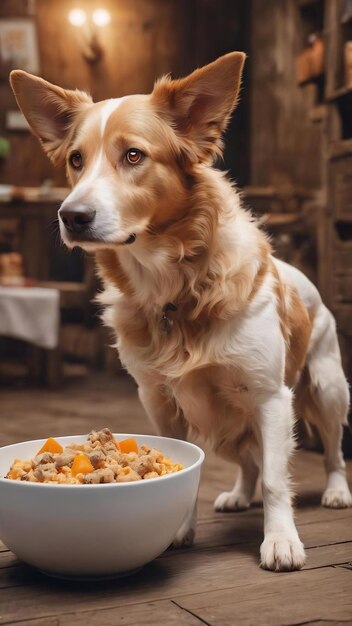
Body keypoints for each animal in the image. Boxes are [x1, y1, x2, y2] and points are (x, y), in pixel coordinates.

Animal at [9, 52, 350, 572]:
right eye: (75, 160)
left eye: (133, 156)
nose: (72, 216)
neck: (175, 289)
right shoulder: (160, 401)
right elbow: (185, 459)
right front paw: (178, 530)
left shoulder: (270, 397)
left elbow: (277, 479)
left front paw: (281, 541)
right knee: (248, 461)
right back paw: (237, 494)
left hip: (327, 390)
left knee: (331, 450)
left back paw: (334, 491)